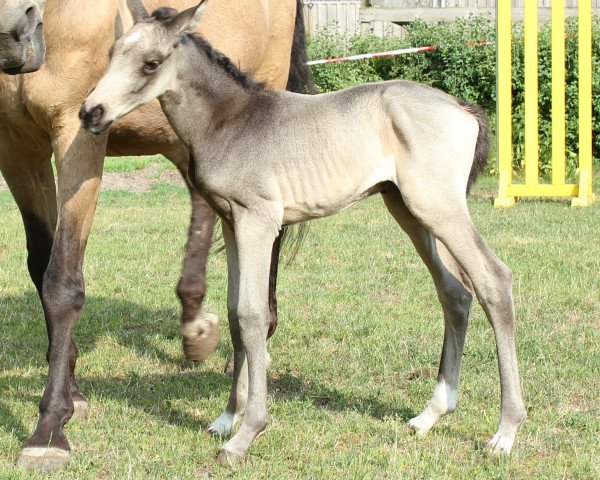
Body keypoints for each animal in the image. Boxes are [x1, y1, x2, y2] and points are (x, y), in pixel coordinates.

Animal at [1, 0, 314, 472]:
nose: (15, 29)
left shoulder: (77, 131)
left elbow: (62, 282)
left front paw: (49, 429)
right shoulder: (16, 143)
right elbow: (42, 267)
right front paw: (72, 390)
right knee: (204, 205)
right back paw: (197, 327)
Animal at [82, 0, 528, 464]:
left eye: (152, 63)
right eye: (112, 53)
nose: (90, 112)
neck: (230, 120)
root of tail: (463, 108)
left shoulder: (258, 221)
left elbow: (252, 315)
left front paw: (245, 435)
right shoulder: (232, 222)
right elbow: (234, 314)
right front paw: (226, 419)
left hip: (439, 208)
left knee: (494, 279)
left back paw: (506, 431)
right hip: (406, 209)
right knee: (455, 292)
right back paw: (430, 415)